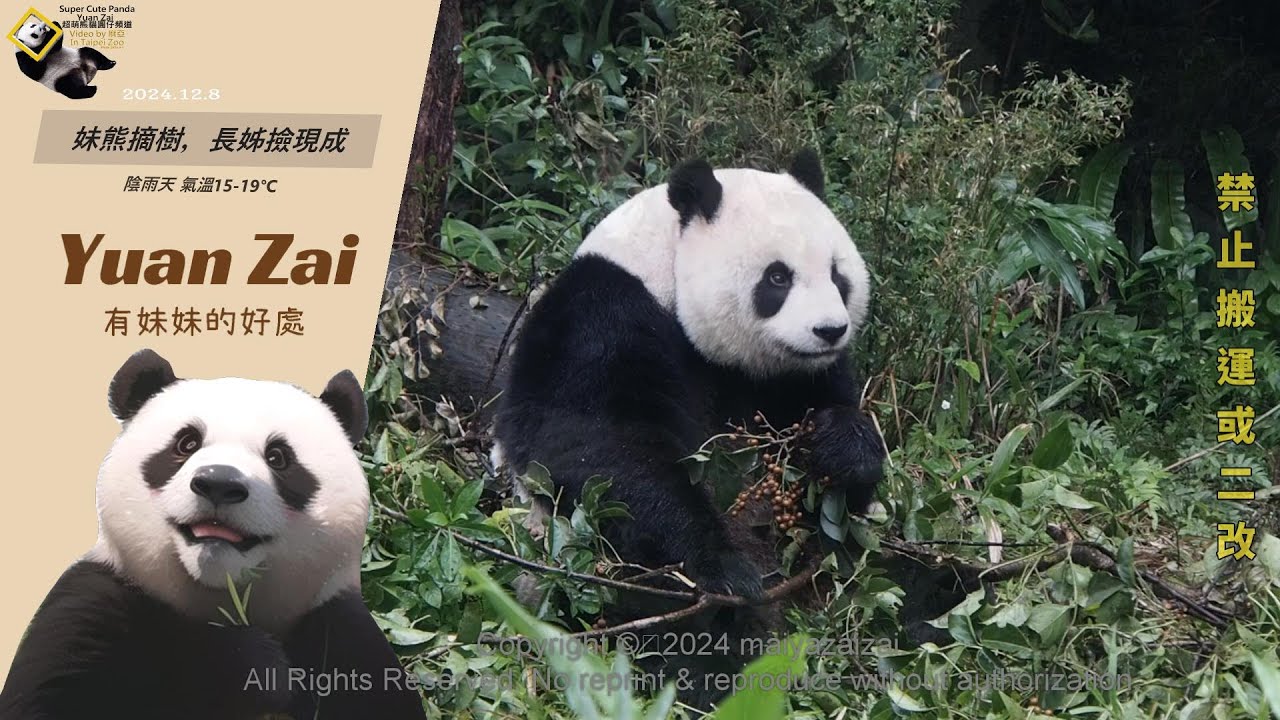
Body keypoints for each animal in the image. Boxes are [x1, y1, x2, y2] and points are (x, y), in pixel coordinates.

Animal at [0, 350, 427, 720]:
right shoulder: (93, 605)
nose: (219, 484)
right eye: (186, 443)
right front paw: (255, 665)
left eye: (279, 457)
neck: (220, 597)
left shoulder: (339, 631)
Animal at [492, 150, 886, 702]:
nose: (829, 330)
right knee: (657, 611)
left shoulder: (795, 378)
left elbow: (836, 494)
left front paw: (841, 449)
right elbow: (591, 449)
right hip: (577, 571)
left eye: (837, 275)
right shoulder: (601, 321)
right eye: (778, 278)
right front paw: (725, 569)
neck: (666, 268)